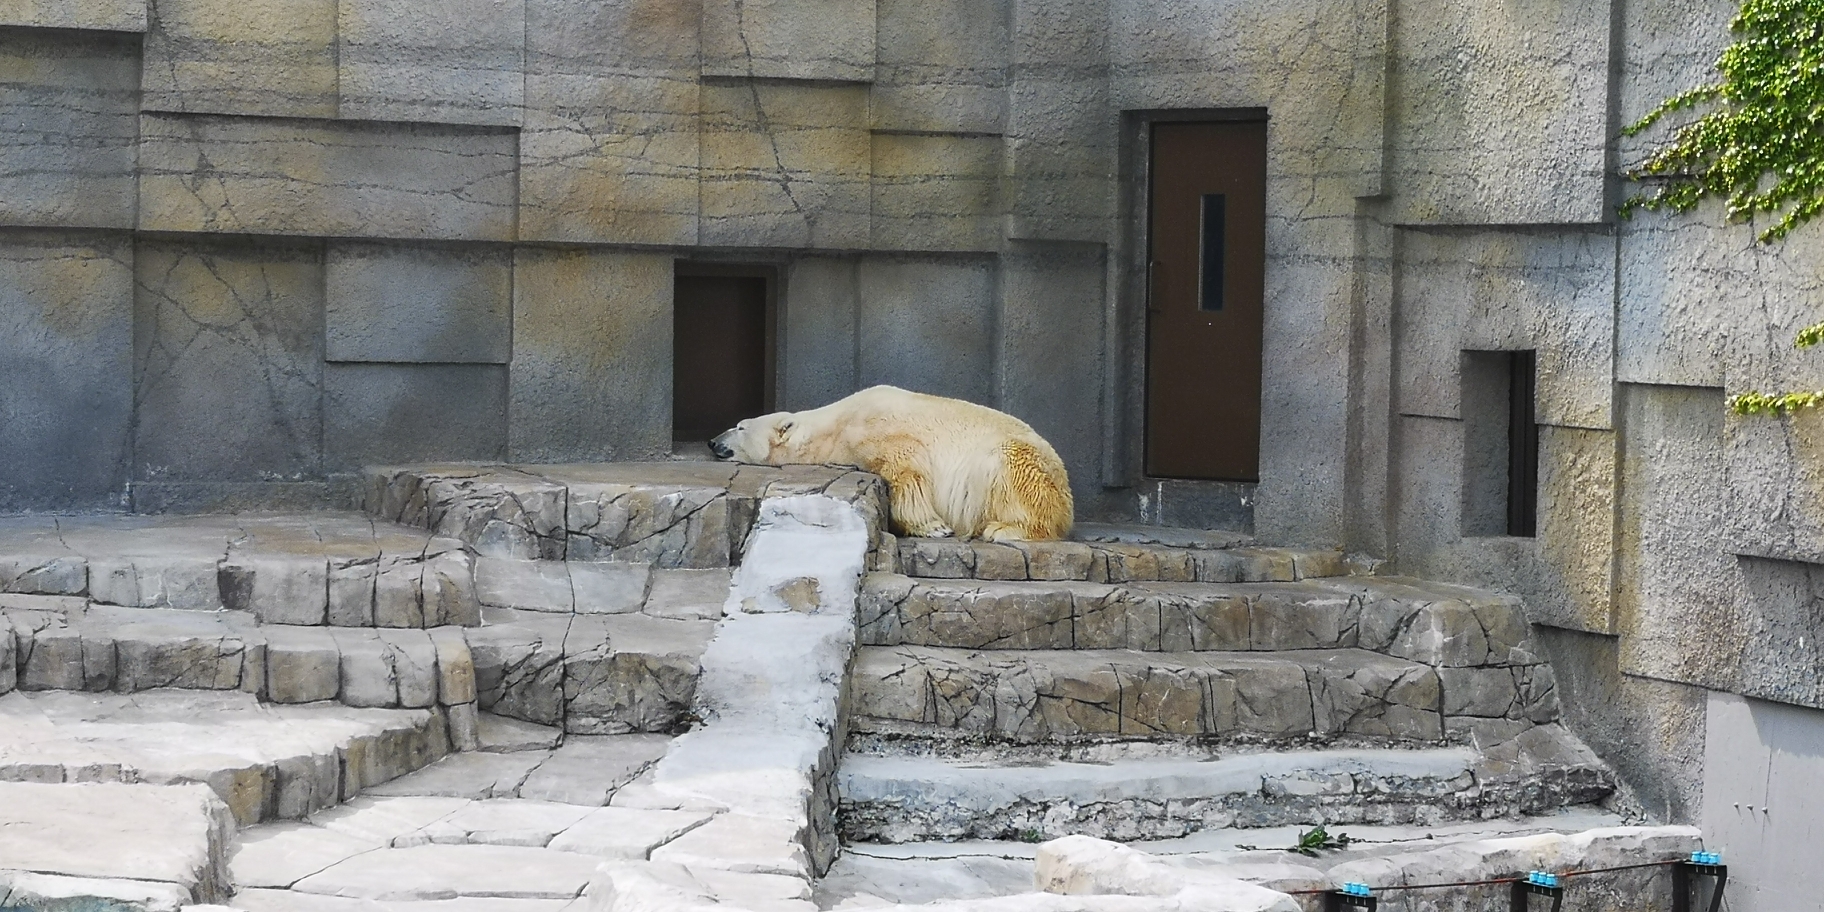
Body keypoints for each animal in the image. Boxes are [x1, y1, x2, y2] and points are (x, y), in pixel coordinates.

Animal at [700, 384, 1065, 539]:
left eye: (740, 425)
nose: (712, 440)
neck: (835, 426)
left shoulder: (883, 431)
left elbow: (907, 471)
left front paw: (934, 527)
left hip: (1015, 461)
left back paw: (1002, 529)